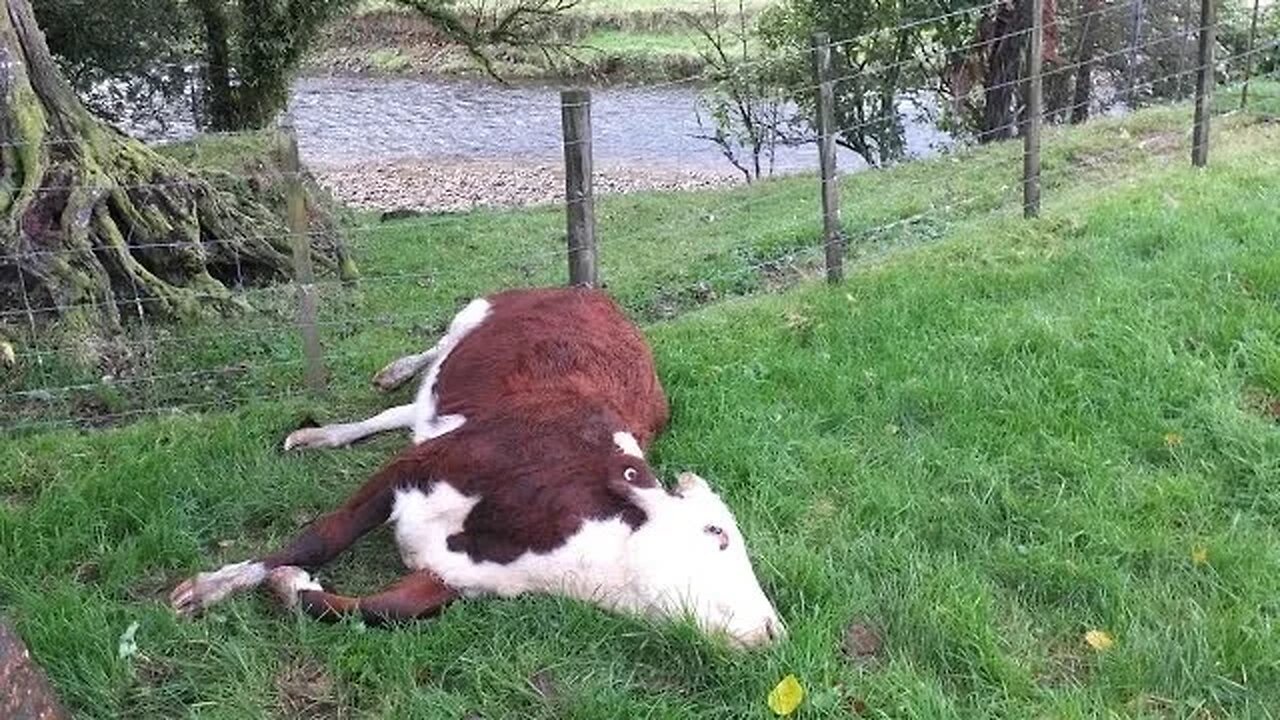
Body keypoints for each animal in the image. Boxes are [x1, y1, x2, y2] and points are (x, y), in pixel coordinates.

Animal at [170, 284, 783, 645]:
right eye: (717, 533)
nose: (774, 631)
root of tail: (594, 293)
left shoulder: (456, 578)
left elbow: (374, 611)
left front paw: (288, 587)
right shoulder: (418, 466)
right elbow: (319, 537)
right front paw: (210, 588)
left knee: (404, 411)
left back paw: (324, 433)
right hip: (473, 315)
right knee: (431, 355)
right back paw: (391, 372)